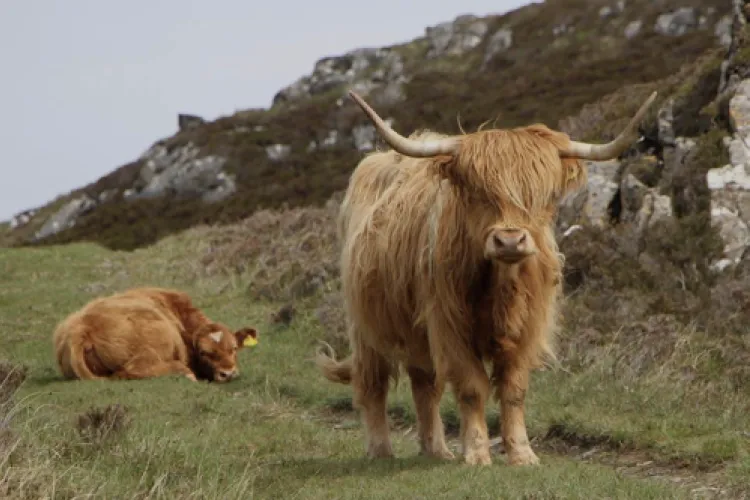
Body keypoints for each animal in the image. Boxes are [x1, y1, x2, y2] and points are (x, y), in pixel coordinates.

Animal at [316, 90, 657, 466]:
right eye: (478, 192)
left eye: (544, 196)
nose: (509, 240)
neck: (501, 288)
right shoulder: (451, 327)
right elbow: (472, 387)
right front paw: (477, 453)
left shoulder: (526, 327)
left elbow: (514, 389)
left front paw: (522, 454)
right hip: (367, 326)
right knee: (373, 383)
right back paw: (381, 451)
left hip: (419, 332)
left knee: (424, 385)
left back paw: (436, 450)